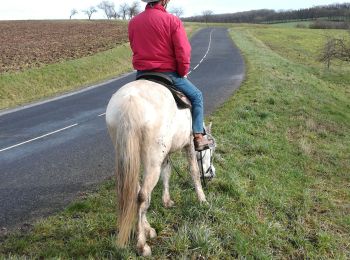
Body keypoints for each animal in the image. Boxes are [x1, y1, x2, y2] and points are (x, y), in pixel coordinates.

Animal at [105, 78, 215, 256]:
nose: (211, 174)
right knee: (143, 196)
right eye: (210, 150)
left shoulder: (166, 154)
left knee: (137, 194)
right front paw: (202, 199)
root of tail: (130, 102)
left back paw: (147, 229)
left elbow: (166, 172)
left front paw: (166, 201)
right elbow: (193, 172)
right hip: (152, 161)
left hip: (131, 158)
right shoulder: (190, 145)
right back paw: (142, 245)